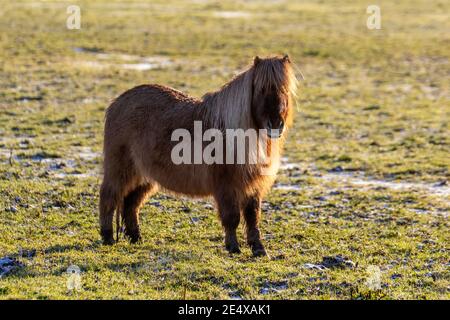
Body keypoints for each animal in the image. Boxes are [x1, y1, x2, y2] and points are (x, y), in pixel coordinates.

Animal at [102, 54, 298, 255]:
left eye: (284, 88)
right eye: (261, 89)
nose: (276, 124)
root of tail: (117, 102)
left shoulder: (253, 186)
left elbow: (252, 217)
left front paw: (258, 248)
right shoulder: (226, 186)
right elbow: (232, 217)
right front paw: (233, 247)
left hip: (144, 176)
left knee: (131, 204)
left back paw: (136, 238)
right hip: (120, 170)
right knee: (109, 196)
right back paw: (108, 237)